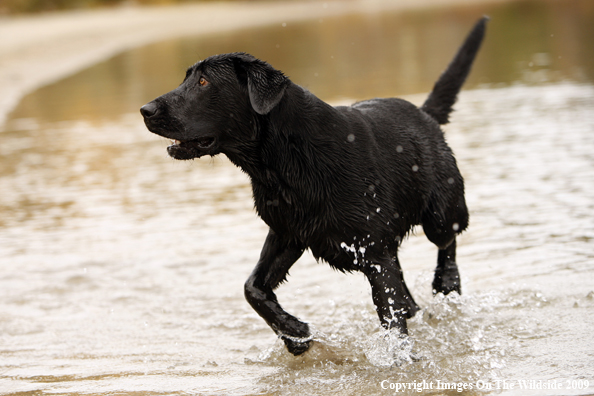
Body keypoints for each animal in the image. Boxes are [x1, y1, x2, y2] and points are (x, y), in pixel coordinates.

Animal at [140, 16, 486, 356]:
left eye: (203, 82)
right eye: (188, 78)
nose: (146, 110)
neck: (284, 166)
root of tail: (425, 114)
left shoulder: (373, 253)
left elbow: (392, 323)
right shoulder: (288, 234)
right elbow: (252, 288)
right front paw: (295, 334)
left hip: (441, 212)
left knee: (447, 242)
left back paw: (447, 283)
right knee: (409, 291)